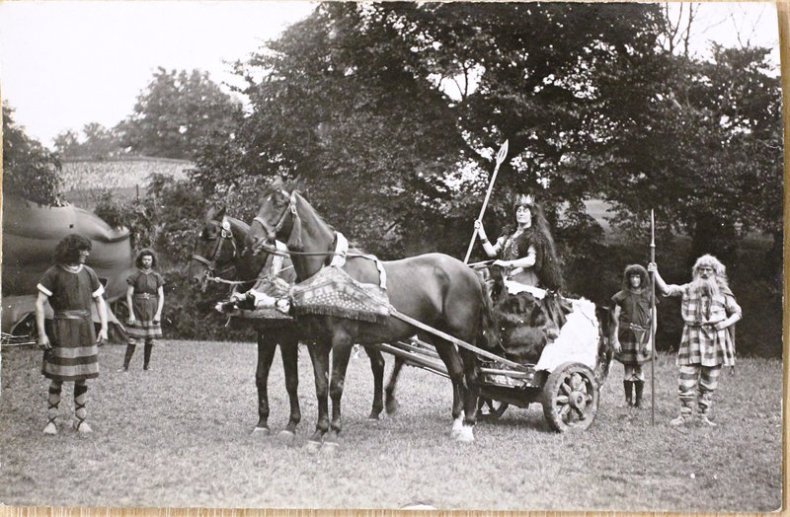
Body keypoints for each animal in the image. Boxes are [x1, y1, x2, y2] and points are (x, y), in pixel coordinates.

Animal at [189, 206, 400, 440]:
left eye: (211, 237)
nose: (195, 279)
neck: (268, 275)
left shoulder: (287, 338)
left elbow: (291, 381)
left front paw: (291, 424)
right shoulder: (265, 334)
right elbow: (261, 376)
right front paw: (262, 422)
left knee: (382, 363)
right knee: (379, 363)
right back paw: (376, 411)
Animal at [249, 177, 496, 444]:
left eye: (279, 203)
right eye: (262, 201)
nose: (253, 238)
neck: (331, 272)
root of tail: (471, 272)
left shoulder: (343, 339)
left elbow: (336, 386)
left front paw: (333, 435)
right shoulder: (317, 340)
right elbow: (320, 386)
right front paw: (318, 432)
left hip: (464, 337)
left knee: (472, 375)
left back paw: (468, 426)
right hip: (440, 336)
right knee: (456, 372)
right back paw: (457, 422)